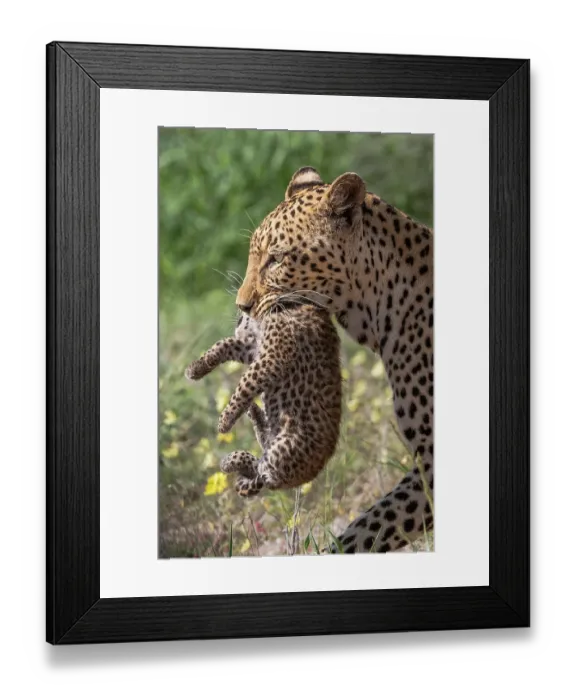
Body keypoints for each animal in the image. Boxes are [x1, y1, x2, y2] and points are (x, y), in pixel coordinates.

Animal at [185, 305, 342, 497]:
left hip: (284, 448)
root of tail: (306, 477)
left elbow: (246, 383)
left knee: (260, 471)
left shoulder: (272, 358)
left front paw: (225, 421)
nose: (239, 319)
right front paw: (197, 367)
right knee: (261, 455)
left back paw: (229, 461)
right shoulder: (254, 348)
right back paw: (255, 413)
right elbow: (225, 343)